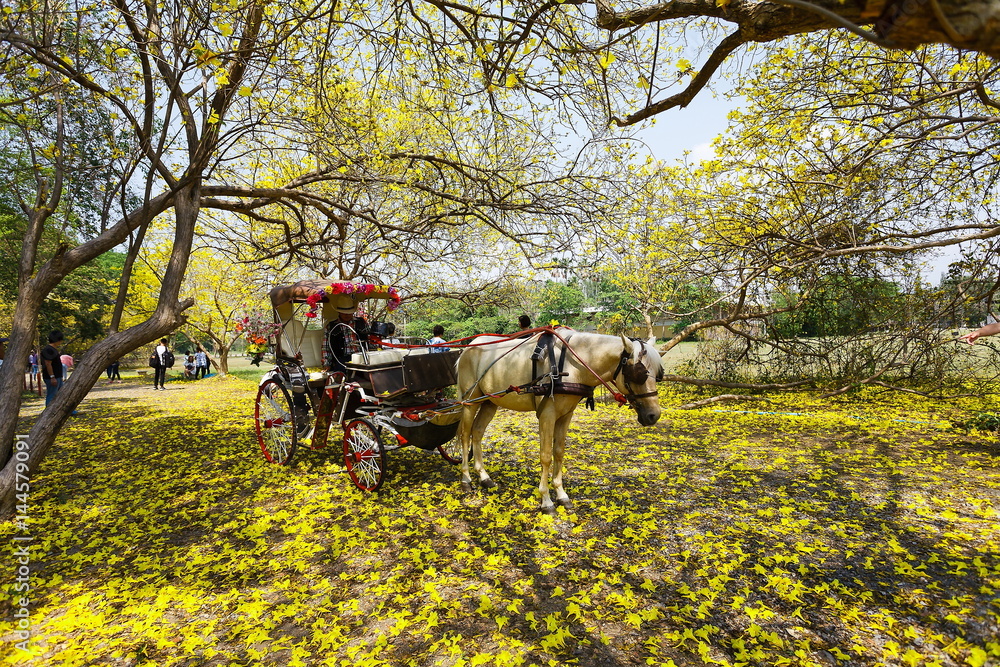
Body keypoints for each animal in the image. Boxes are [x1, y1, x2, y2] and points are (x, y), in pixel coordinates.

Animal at [456, 328, 664, 513]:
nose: (653, 415)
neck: (572, 364)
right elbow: (546, 456)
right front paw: (546, 501)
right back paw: (466, 479)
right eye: (639, 373)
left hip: (490, 401)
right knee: (465, 434)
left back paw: (484, 477)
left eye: (657, 374)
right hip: (470, 401)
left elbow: (559, 452)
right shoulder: (547, 414)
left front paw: (562, 495)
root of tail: (467, 349)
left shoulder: (566, 414)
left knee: (477, 432)